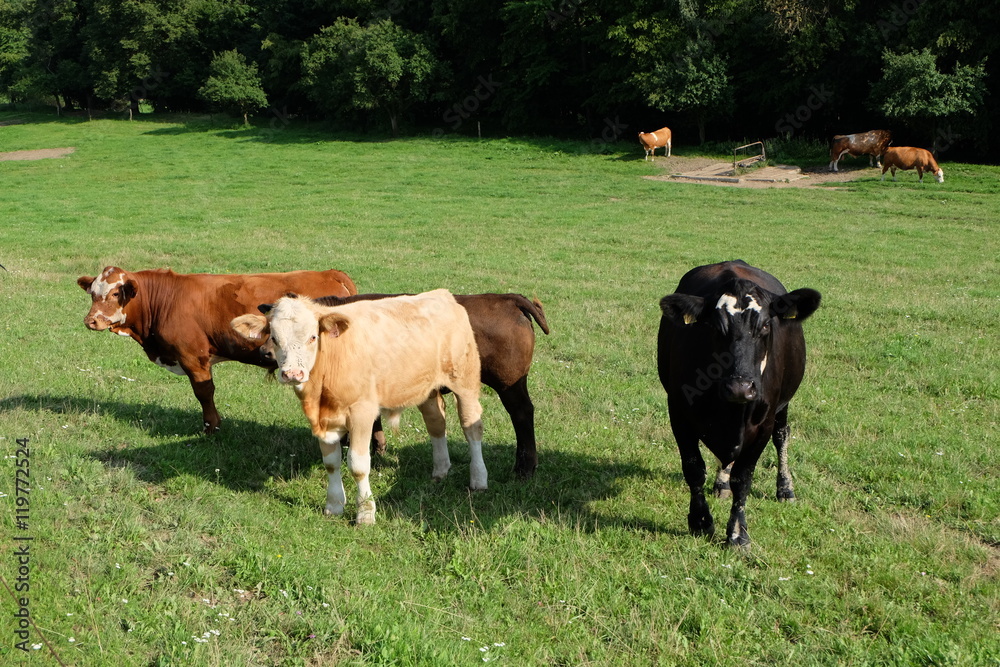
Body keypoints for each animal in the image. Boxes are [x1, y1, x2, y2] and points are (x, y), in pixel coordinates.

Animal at [77, 266, 357, 434]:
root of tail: (330, 272)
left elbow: (204, 392)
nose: (91, 321)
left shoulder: (193, 356)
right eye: (92, 293)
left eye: (116, 293)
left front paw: (211, 426)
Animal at [231, 290, 485, 525]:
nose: (293, 373)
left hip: (465, 381)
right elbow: (331, 463)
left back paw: (479, 479)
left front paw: (365, 512)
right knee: (436, 423)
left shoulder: (362, 413)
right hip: (426, 389)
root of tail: (441, 294)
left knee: (471, 428)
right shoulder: (326, 420)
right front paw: (334, 505)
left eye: (313, 337)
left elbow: (358, 465)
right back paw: (440, 469)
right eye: (274, 338)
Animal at [657, 260, 821, 547]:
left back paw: (785, 488)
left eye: (765, 326)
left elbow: (743, 478)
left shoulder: (763, 423)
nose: (740, 388)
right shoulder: (678, 411)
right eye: (714, 327)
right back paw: (721, 483)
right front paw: (700, 521)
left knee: (782, 436)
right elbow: (694, 468)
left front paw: (737, 534)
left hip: (783, 406)